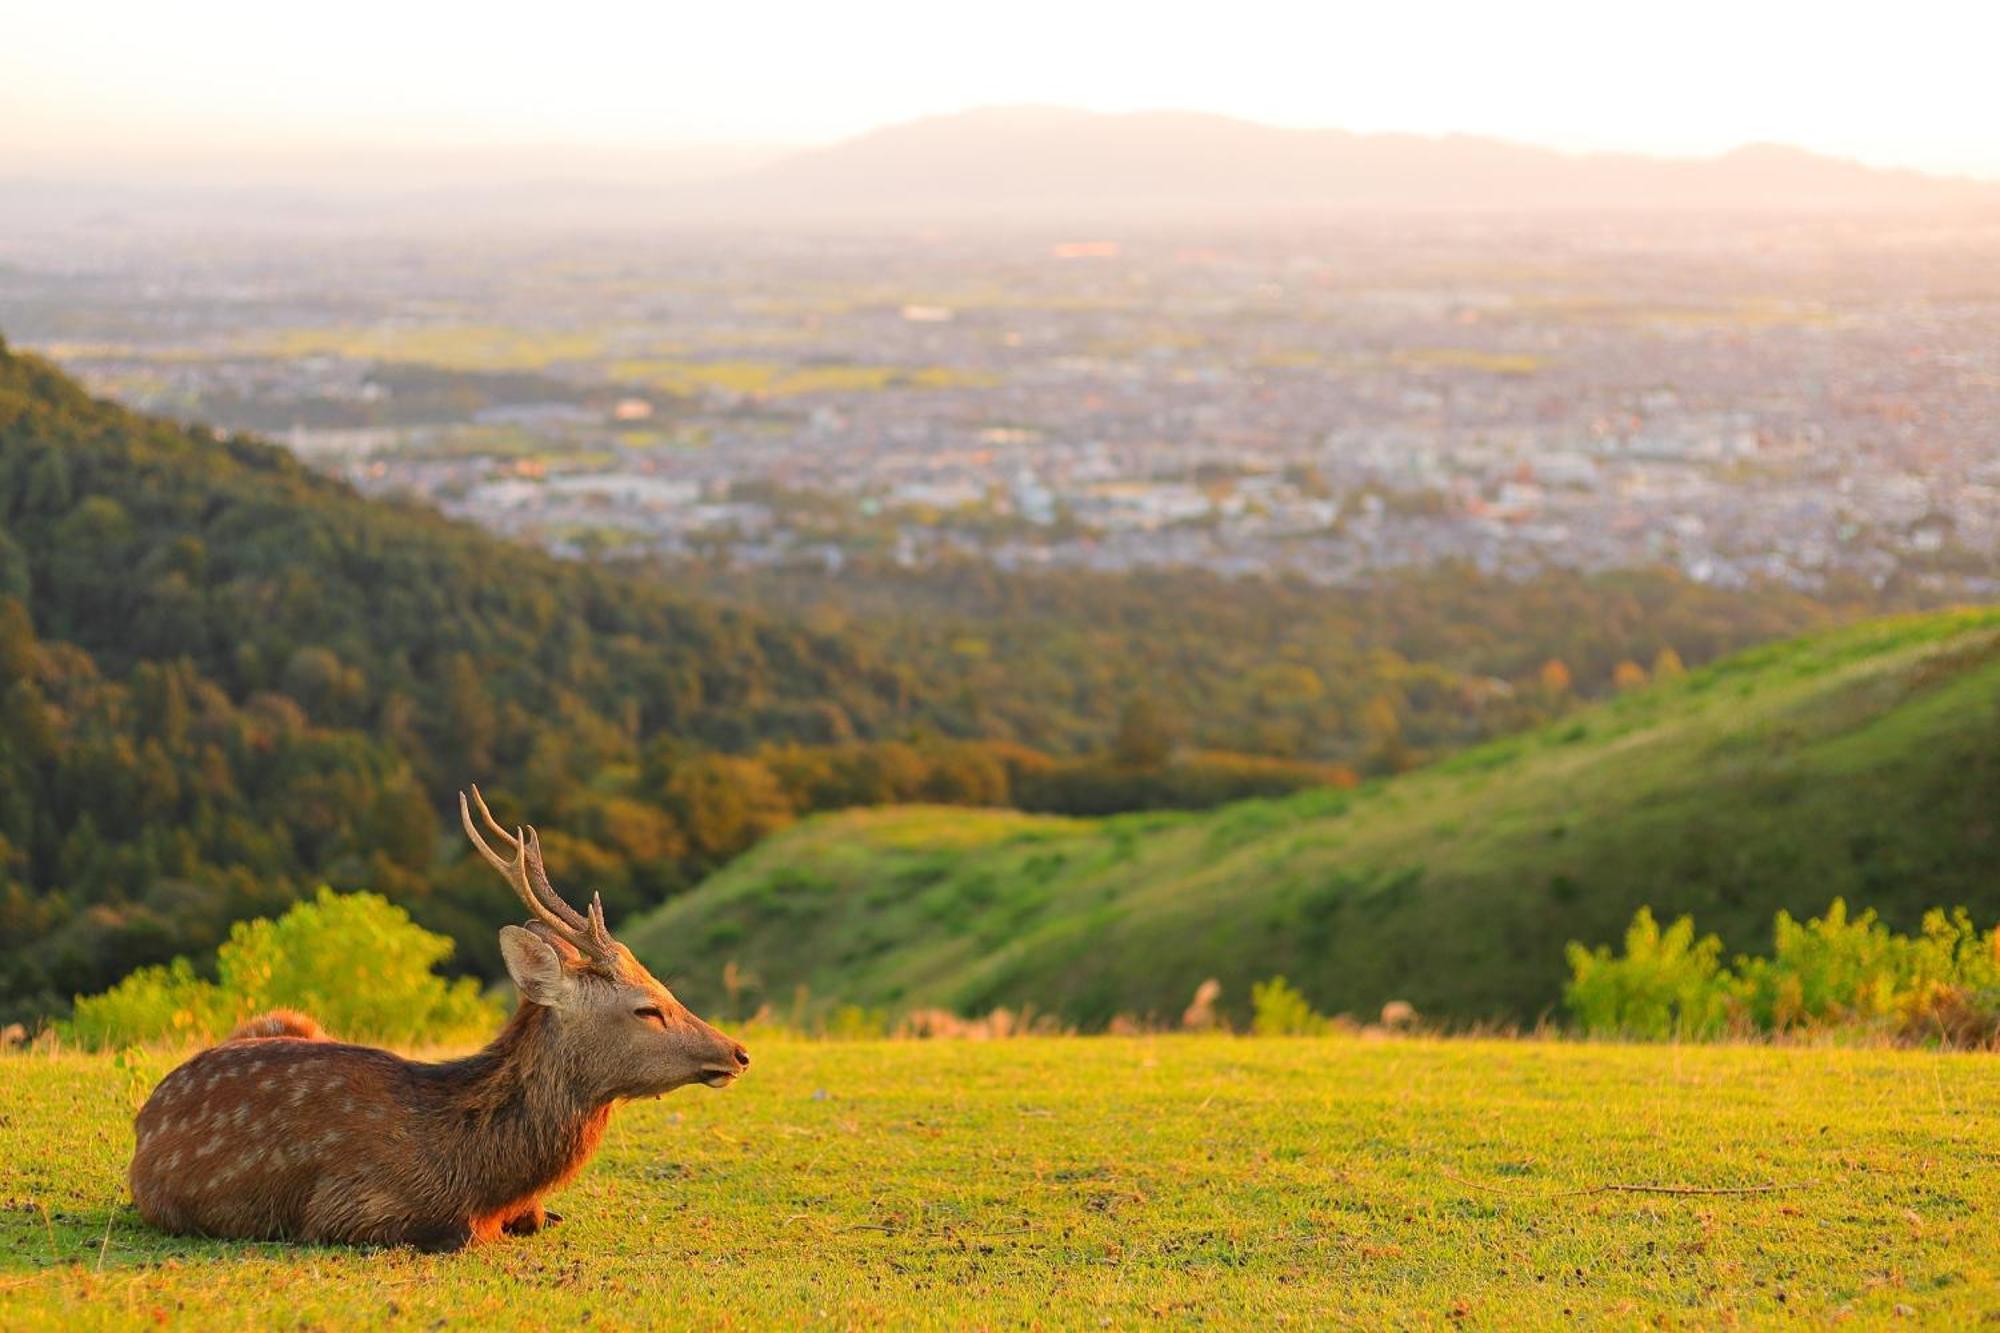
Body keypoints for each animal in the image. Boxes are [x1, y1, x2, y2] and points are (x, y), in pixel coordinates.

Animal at [127, 780, 752, 1248]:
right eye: (648, 1008)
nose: (738, 1052)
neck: (474, 1173)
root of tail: (143, 1119)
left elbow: (535, 1215)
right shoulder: (342, 1206)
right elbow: (464, 1234)